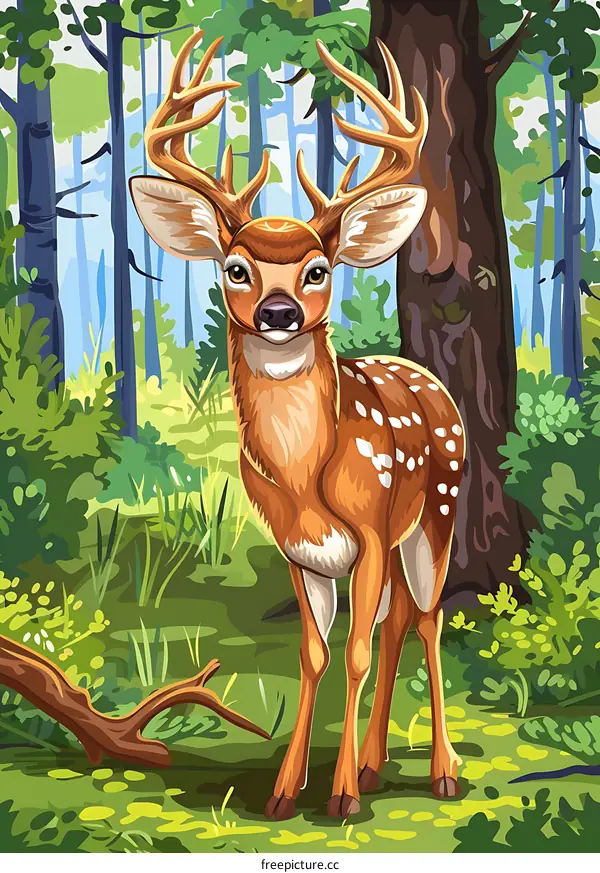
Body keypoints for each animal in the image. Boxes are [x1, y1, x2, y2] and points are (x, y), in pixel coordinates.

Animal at [130, 30, 465, 820]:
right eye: (234, 267)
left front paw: (339, 796)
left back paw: (440, 770)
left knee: (427, 619)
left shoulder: (370, 529)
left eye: (318, 269)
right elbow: (316, 652)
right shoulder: (299, 547)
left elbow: (355, 652)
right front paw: (287, 790)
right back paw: (374, 763)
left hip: (434, 516)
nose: (278, 313)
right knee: (399, 621)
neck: (307, 474)